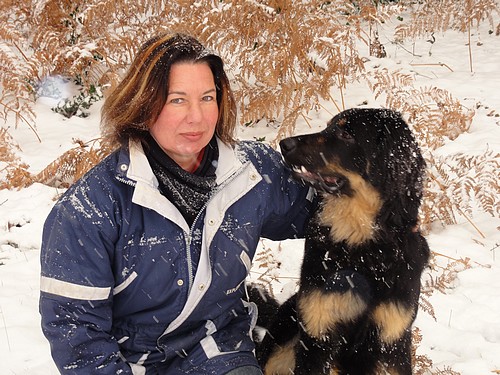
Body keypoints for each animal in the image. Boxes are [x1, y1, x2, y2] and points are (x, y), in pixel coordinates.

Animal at [258, 108, 430, 375]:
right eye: (328, 126)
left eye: (345, 134)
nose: (284, 144)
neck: (362, 246)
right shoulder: (316, 333)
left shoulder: (392, 342)